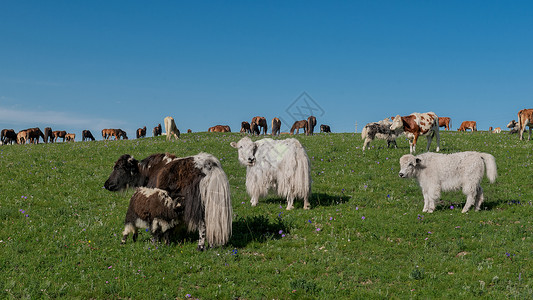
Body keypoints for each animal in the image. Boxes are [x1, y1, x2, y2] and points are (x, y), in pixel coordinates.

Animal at [103, 152, 232, 251]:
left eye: (119, 167)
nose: (107, 184)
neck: (148, 172)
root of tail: (210, 166)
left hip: (196, 204)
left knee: (202, 223)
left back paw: (200, 247)